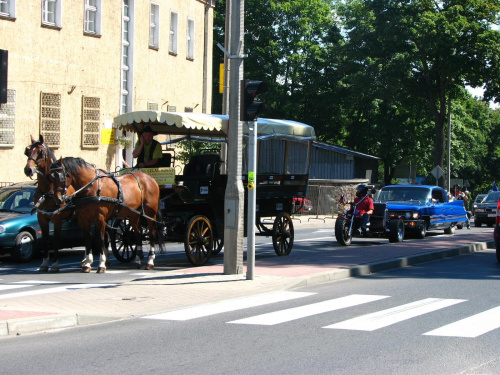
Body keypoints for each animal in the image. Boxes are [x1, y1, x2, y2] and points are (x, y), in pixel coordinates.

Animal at [23, 135, 76, 274]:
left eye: (40, 152)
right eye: (28, 152)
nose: (28, 169)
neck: (47, 191)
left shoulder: (57, 219)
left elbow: (56, 239)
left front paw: (55, 264)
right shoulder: (42, 218)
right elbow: (46, 238)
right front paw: (44, 263)